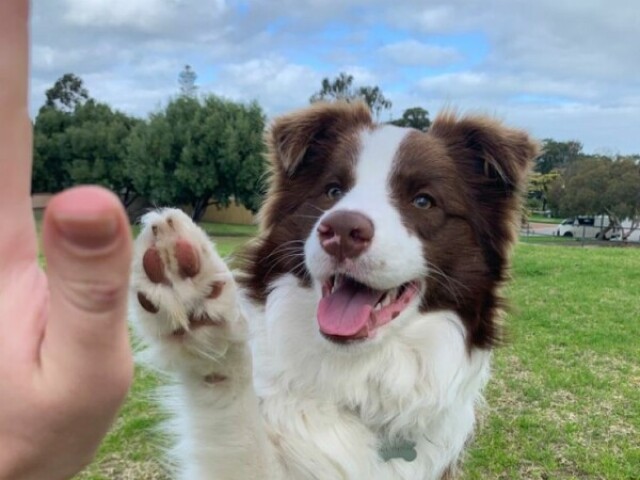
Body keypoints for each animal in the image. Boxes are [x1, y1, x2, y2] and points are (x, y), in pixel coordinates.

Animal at [132, 102, 536, 480]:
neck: (356, 378)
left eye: (423, 200)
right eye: (332, 190)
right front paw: (199, 316)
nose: (341, 230)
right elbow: (234, 420)